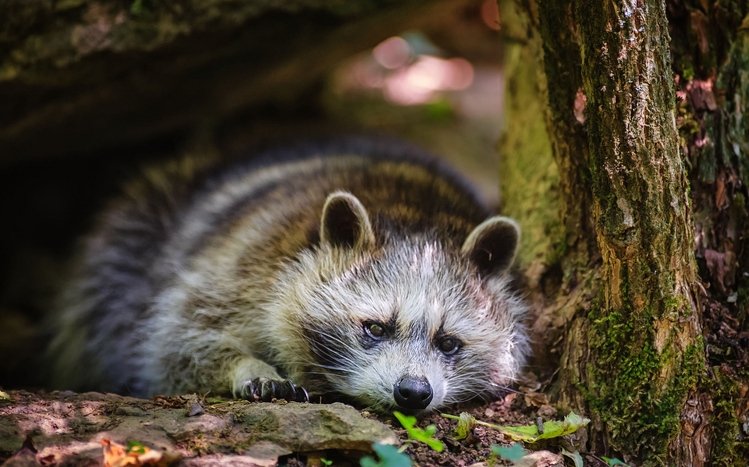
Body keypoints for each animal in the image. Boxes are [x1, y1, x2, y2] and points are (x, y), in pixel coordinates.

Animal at [48, 138, 528, 413]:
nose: (413, 392)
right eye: (374, 328)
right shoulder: (240, 266)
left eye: (449, 343)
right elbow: (175, 342)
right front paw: (244, 365)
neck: (415, 217)